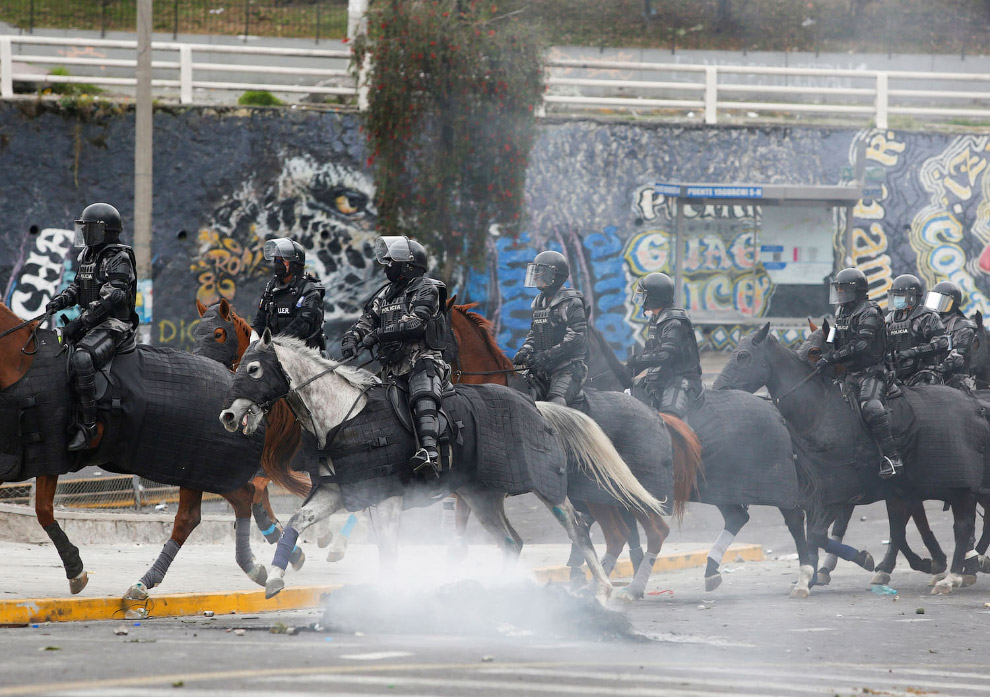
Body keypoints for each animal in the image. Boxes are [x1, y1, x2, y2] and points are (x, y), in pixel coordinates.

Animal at [218, 330, 668, 600]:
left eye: (254, 368)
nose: (228, 415)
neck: (345, 415)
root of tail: (536, 406)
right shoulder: (337, 492)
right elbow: (297, 522)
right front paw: (275, 576)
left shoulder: (384, 499)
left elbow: (388, 548)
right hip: (482, 498)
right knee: (511, 542)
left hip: (548, 489)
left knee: (578, 529)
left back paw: (606, 589)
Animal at [446, 302, 700, 596]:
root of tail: (657, 416)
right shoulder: (471, 490)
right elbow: (460, 537)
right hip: (600, 495)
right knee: (618, 534)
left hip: (634, 494)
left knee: (655, 531)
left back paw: (632, 588)